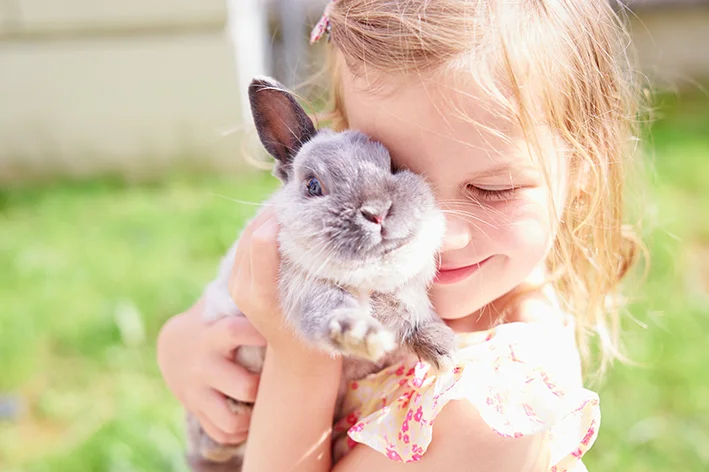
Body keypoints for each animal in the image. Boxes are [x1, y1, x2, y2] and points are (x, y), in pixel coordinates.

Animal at [185, 76, 456, 468]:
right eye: (313, 186)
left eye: (394, 164)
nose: (377, 212)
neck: (370, 272)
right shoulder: (310, 290)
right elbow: (334, 312)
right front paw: (363, 337)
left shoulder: (408, 295)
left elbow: (417, 318)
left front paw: (444, 351)